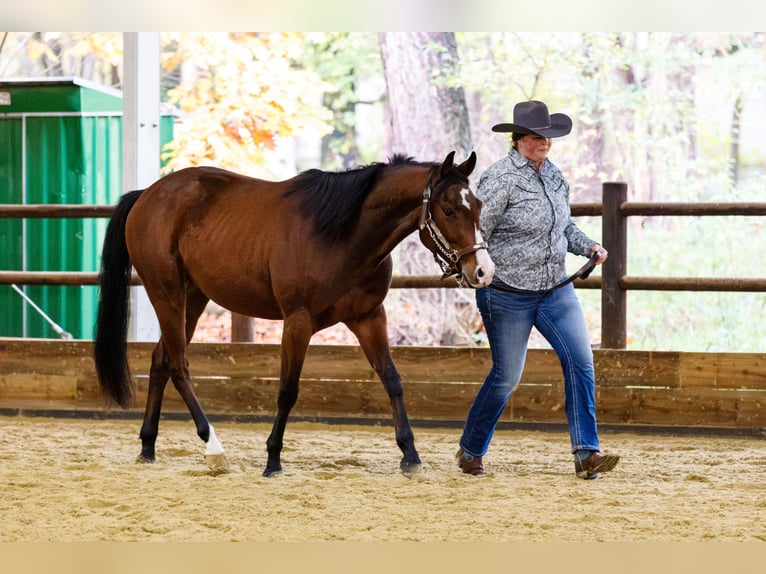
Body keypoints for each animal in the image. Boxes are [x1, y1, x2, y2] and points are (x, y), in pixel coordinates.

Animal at [94, 151, 495, 477]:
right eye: (448, 209)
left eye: (477, 207)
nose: (482, 271)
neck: (342, 233)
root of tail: (147, 195)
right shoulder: (298, 322)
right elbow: (288, 389)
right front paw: (273, 458)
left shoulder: (369, 318)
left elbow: (392, 380)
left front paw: (410, 455)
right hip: (167, 295)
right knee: (178, 366)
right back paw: (214, 449)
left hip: (193, 298)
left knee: (161, 360)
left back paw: (148, 446)